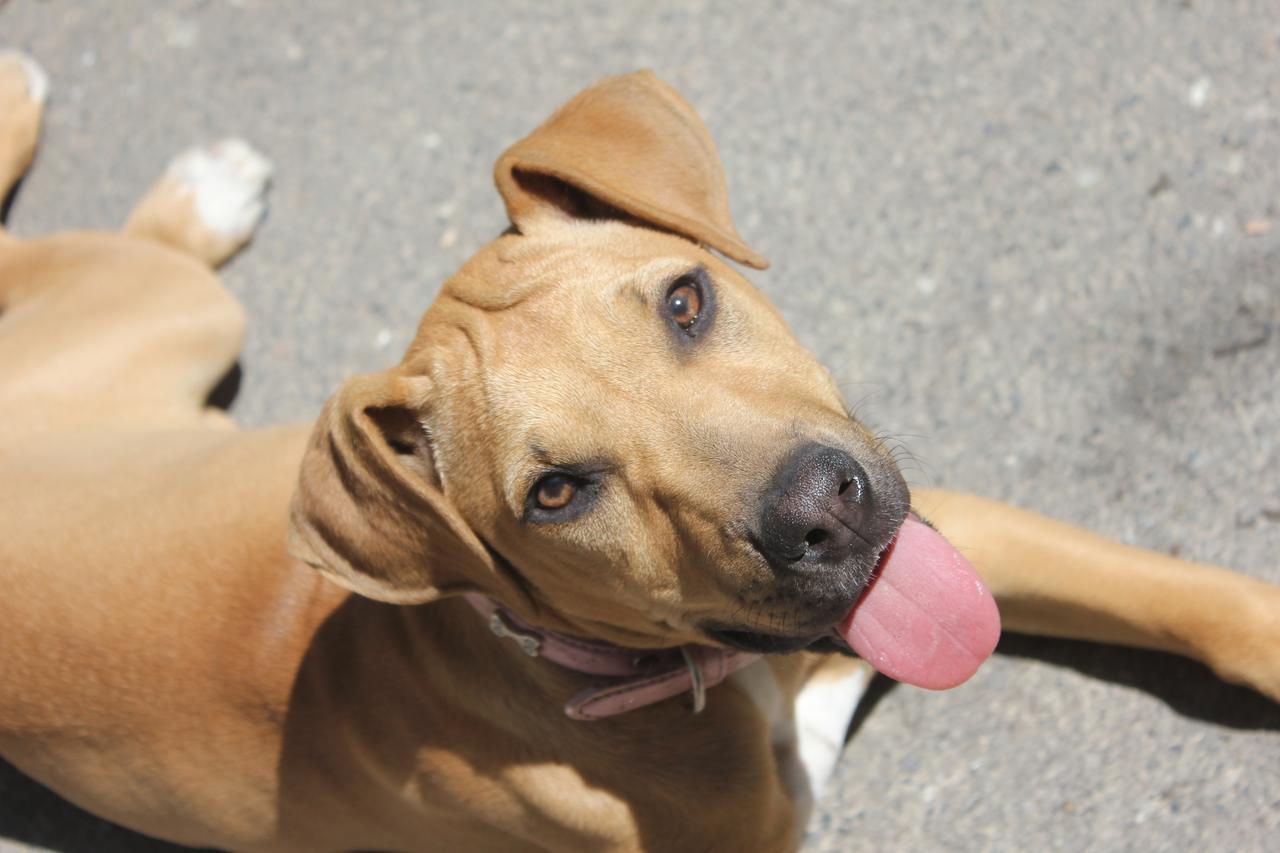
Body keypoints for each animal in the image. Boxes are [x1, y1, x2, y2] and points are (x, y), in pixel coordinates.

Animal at [2, 54, 1280, 850]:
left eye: (683, 300)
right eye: (555, 492)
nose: (820, 510)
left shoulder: (942, 531)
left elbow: (1193, 600)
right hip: (167, 310)